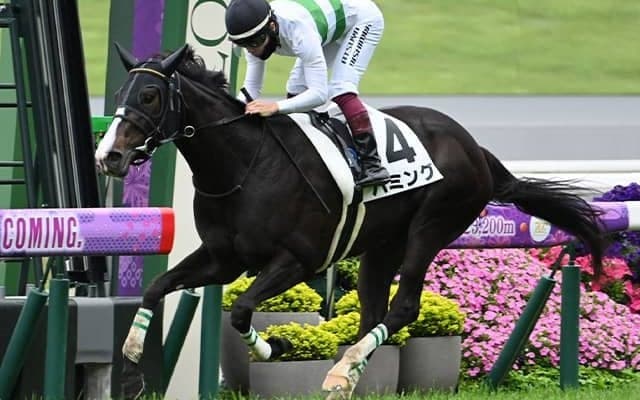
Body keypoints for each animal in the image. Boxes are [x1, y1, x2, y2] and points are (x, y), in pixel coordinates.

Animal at [95, 44, 606, 399]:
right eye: (118, 94)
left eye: (150, 94)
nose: (110, 156)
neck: (244, 166)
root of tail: (475, 149)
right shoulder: (223, 259)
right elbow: (156, 287)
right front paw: (133, 362)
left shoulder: (297, 261)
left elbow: (240, 311)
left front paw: (278, 348)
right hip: (382, 247)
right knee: (373, 315)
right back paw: (346, 376)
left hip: (432, 227)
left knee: (404, 308)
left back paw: (341, 370)